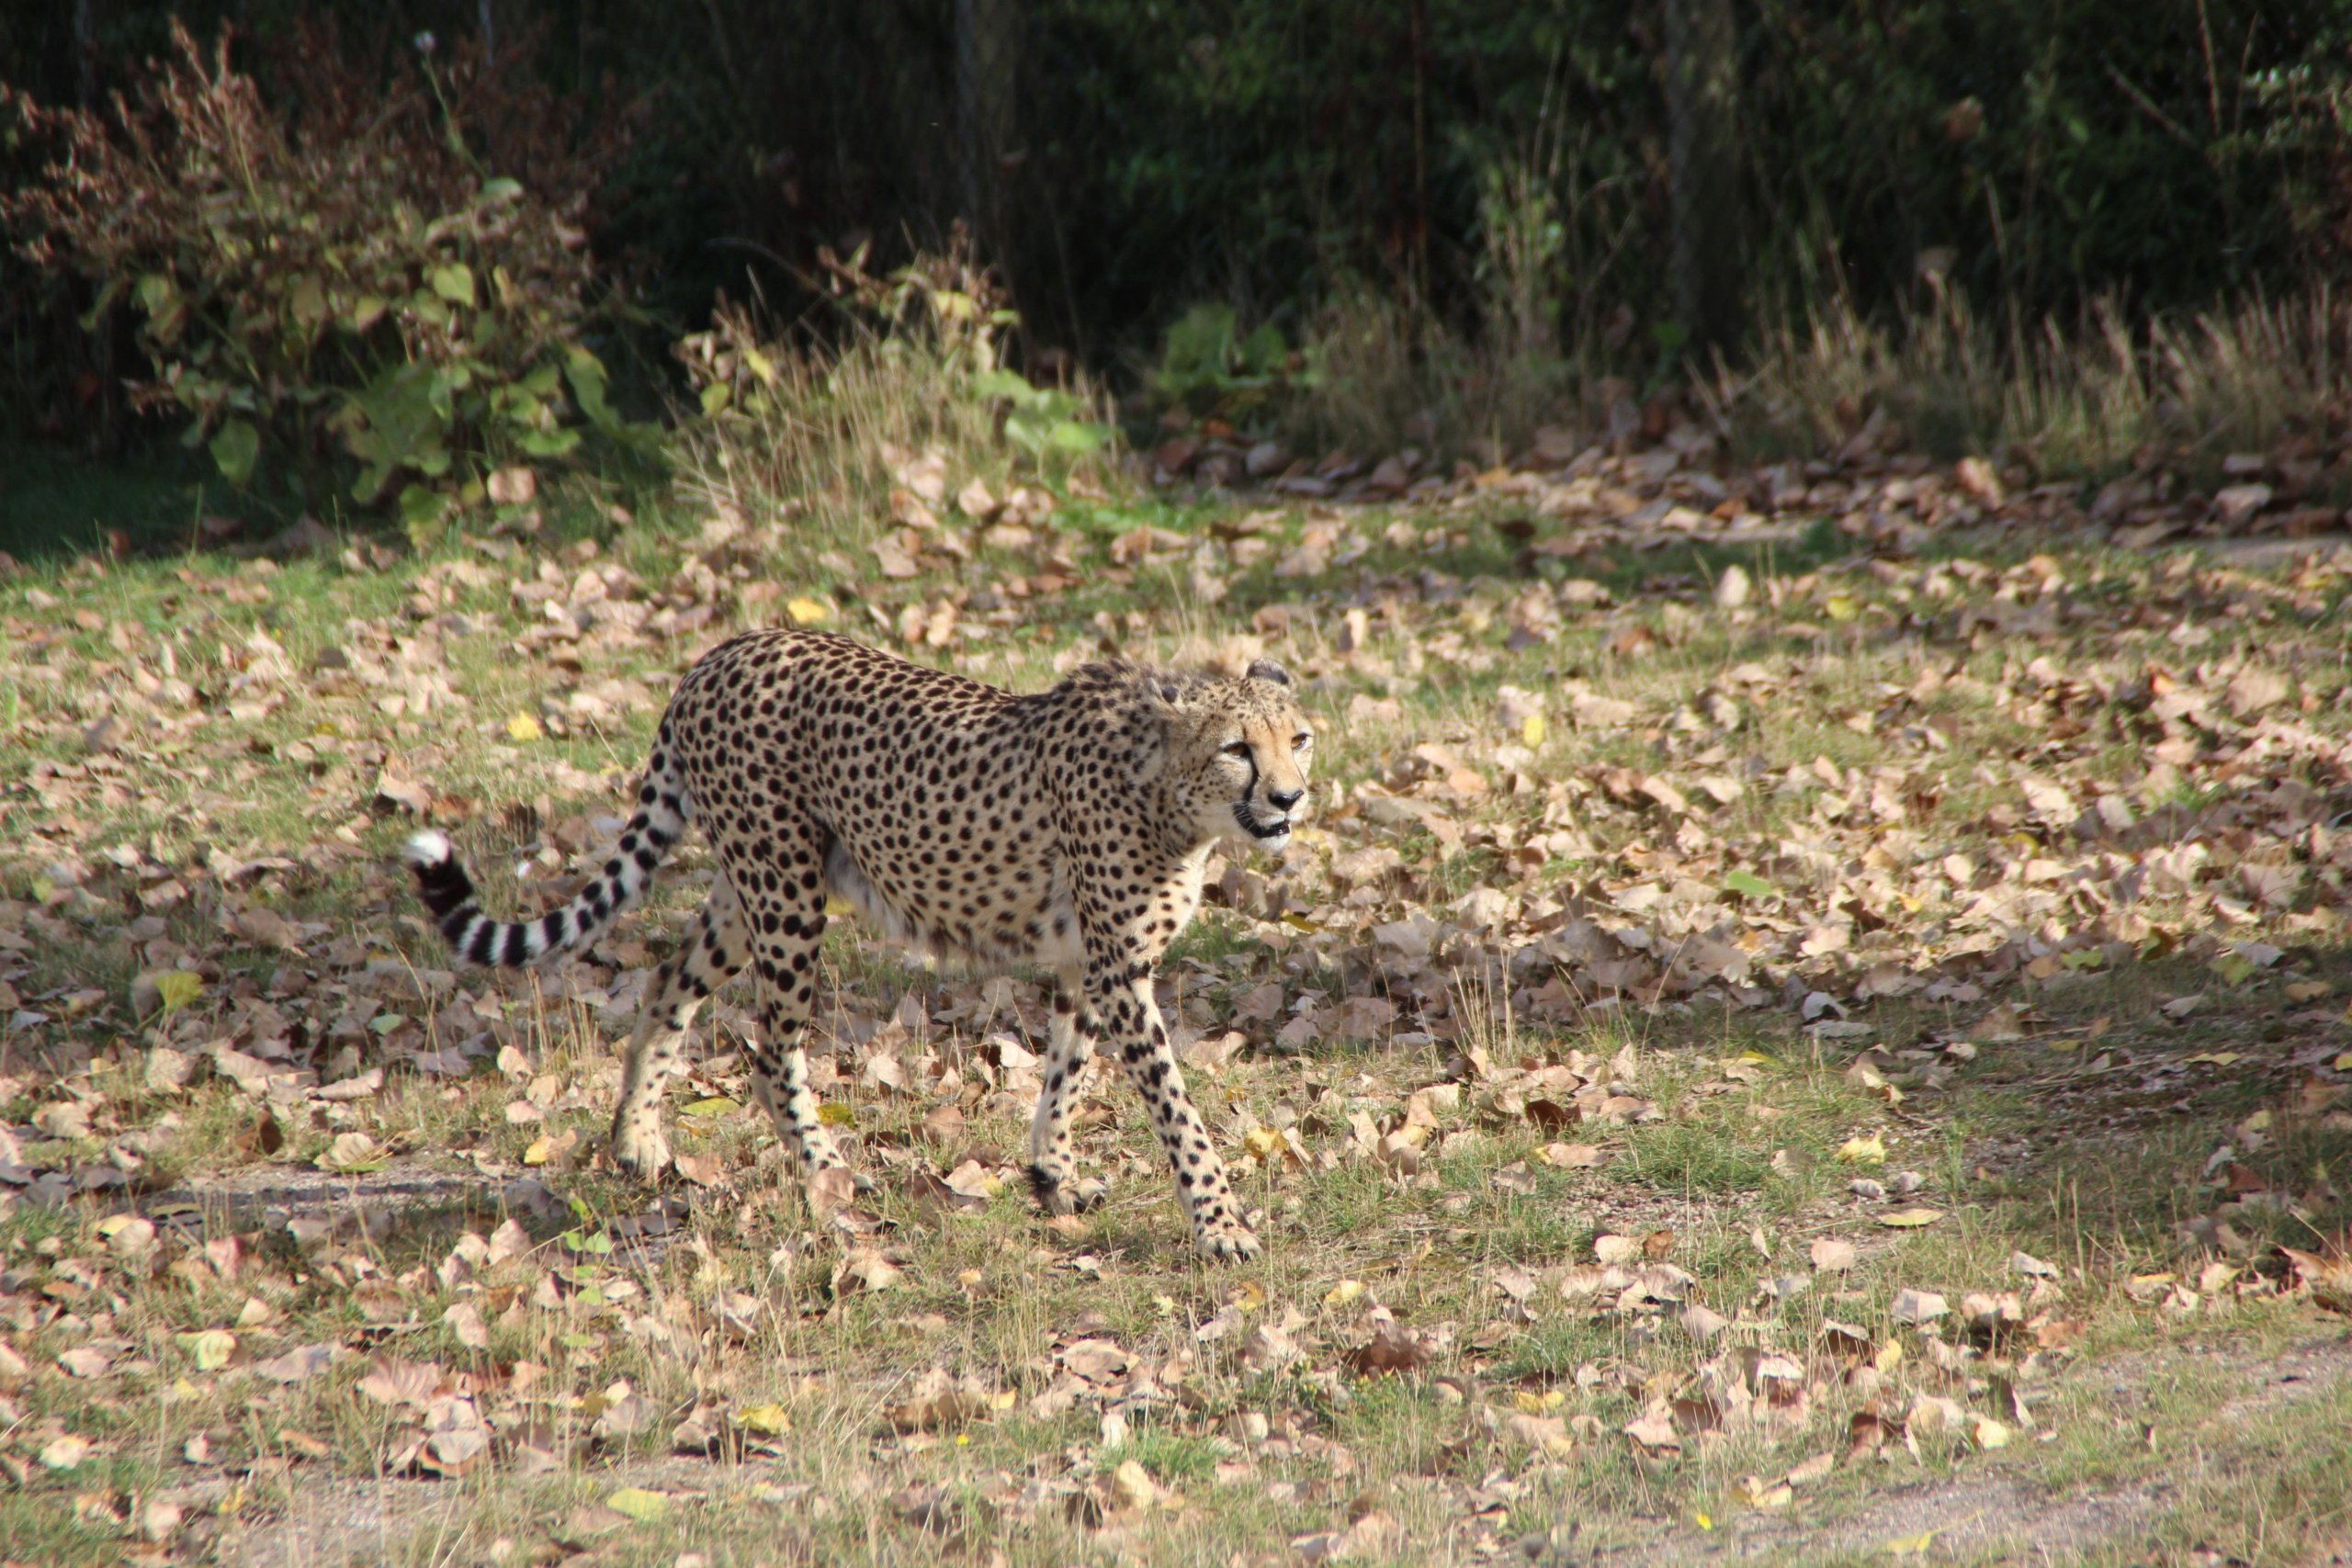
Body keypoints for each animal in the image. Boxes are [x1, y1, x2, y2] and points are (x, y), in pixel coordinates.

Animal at [412, 629, 1317, 1259]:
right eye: (1237, 746)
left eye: (1299, 738)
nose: (1290, 797)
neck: (1171, 796)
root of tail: (721, 653)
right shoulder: (1121, 970)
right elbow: (1178, 1110)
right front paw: (1220, 1224)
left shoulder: (1085, 964)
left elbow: (1067, 1071)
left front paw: (1053, 1175)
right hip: (787, 897)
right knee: (771, 1050)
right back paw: (826, 1169)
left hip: (750, 890)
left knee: (670, 978)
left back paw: (636, 1139)